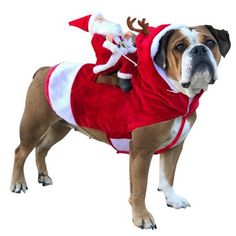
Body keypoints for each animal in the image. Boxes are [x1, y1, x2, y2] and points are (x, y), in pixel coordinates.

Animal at [11, 21, 230, 229]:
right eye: (180, 47)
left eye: (210, 42)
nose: (199, 49)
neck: (170, 92)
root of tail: (46, 69)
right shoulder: (141, 153)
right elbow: (140, 188)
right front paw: (142, 217)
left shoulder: (175, 147)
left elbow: (168, 176)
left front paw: (172, 199)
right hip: (33, 125)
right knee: (21, 152)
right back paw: (18, 183)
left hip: (60, 126)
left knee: (42, 148)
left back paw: (43, 176)